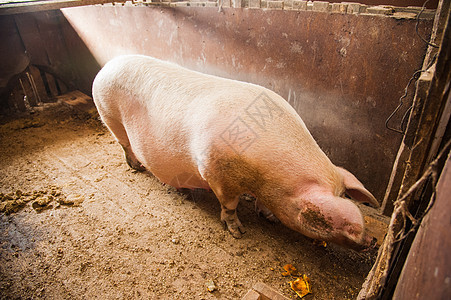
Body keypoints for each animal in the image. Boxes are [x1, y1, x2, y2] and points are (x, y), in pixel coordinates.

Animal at [93, 54, 380, 251]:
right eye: (321, 221)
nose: (374, 241)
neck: (266, 178)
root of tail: (107, 66)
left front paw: (269, 218)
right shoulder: (216, 173)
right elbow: (229, 206)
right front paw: (239, 232)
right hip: (109, 115)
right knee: (124, 144)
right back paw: (137, 167)